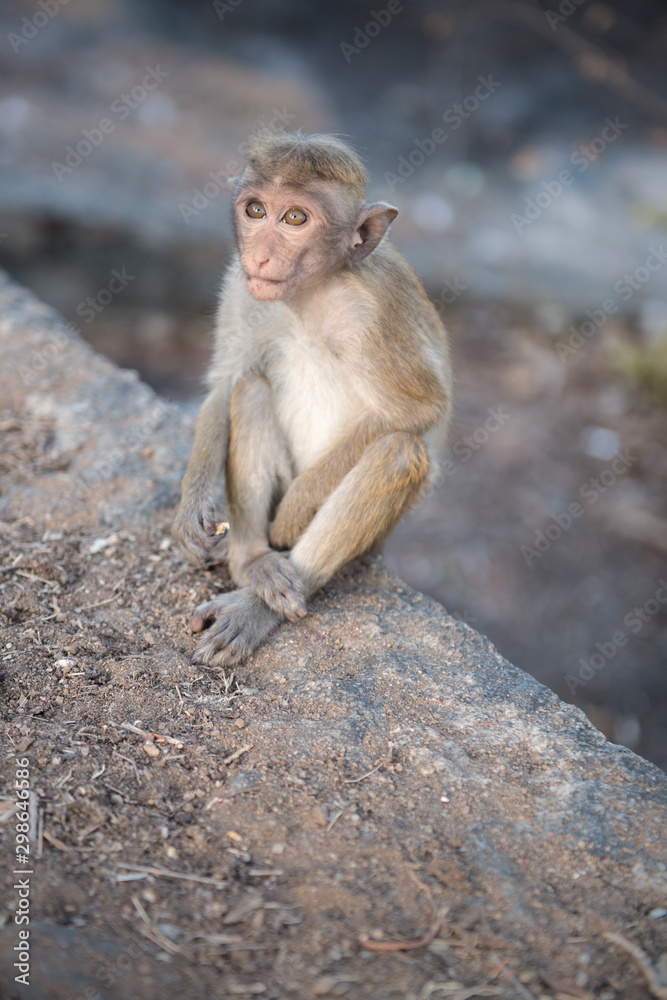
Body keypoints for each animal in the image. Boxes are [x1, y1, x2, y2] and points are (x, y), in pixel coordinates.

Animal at [172, 130, 452, 667]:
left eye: (295, 218)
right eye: (256, 210)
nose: (260, 256)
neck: (309, 295)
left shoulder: (371, 315)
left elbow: (420, 411)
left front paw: (296, 510)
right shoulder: (240, 287)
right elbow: (225, 382)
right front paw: (191, 505)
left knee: (399, 451)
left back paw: (261, 603)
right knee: (251, 390)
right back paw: (254, 563)